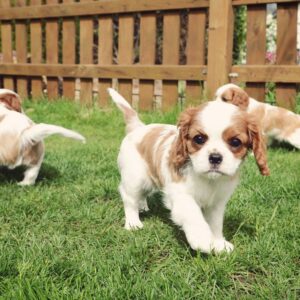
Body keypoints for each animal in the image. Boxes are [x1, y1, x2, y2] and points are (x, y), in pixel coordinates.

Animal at [108, 88, 270, 253]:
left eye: (235, 142)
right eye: (199, 139)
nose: (215, 157)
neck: (209, 180)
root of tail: (139, 127)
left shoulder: (217, 202)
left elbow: (215, 223)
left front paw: (218, 243)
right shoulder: (181, 194)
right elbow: (193, 214)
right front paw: (203, 239)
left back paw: (142, 206)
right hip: (134, 177)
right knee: (129, 198)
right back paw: (133, 222)